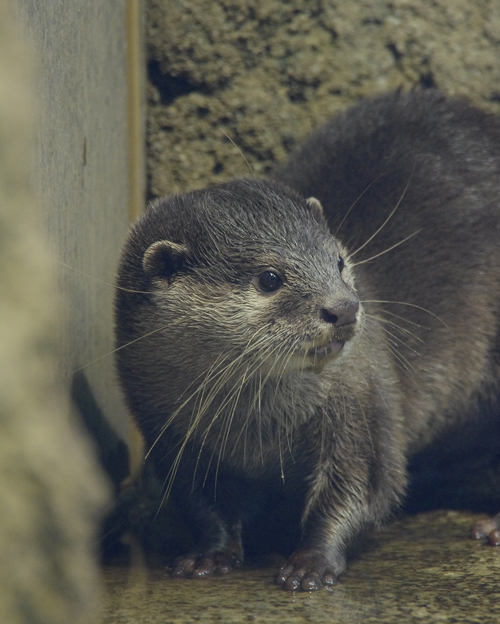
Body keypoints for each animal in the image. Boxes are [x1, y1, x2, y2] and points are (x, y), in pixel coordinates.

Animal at [115, 90, 500, 592]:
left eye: (338, 260)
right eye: (270, 278)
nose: (345, 307)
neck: (257, 430)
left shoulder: (361, 403)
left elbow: (362, 486)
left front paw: (311, 563)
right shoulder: (170, 429)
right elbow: (201, 501)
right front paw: (208, 555)